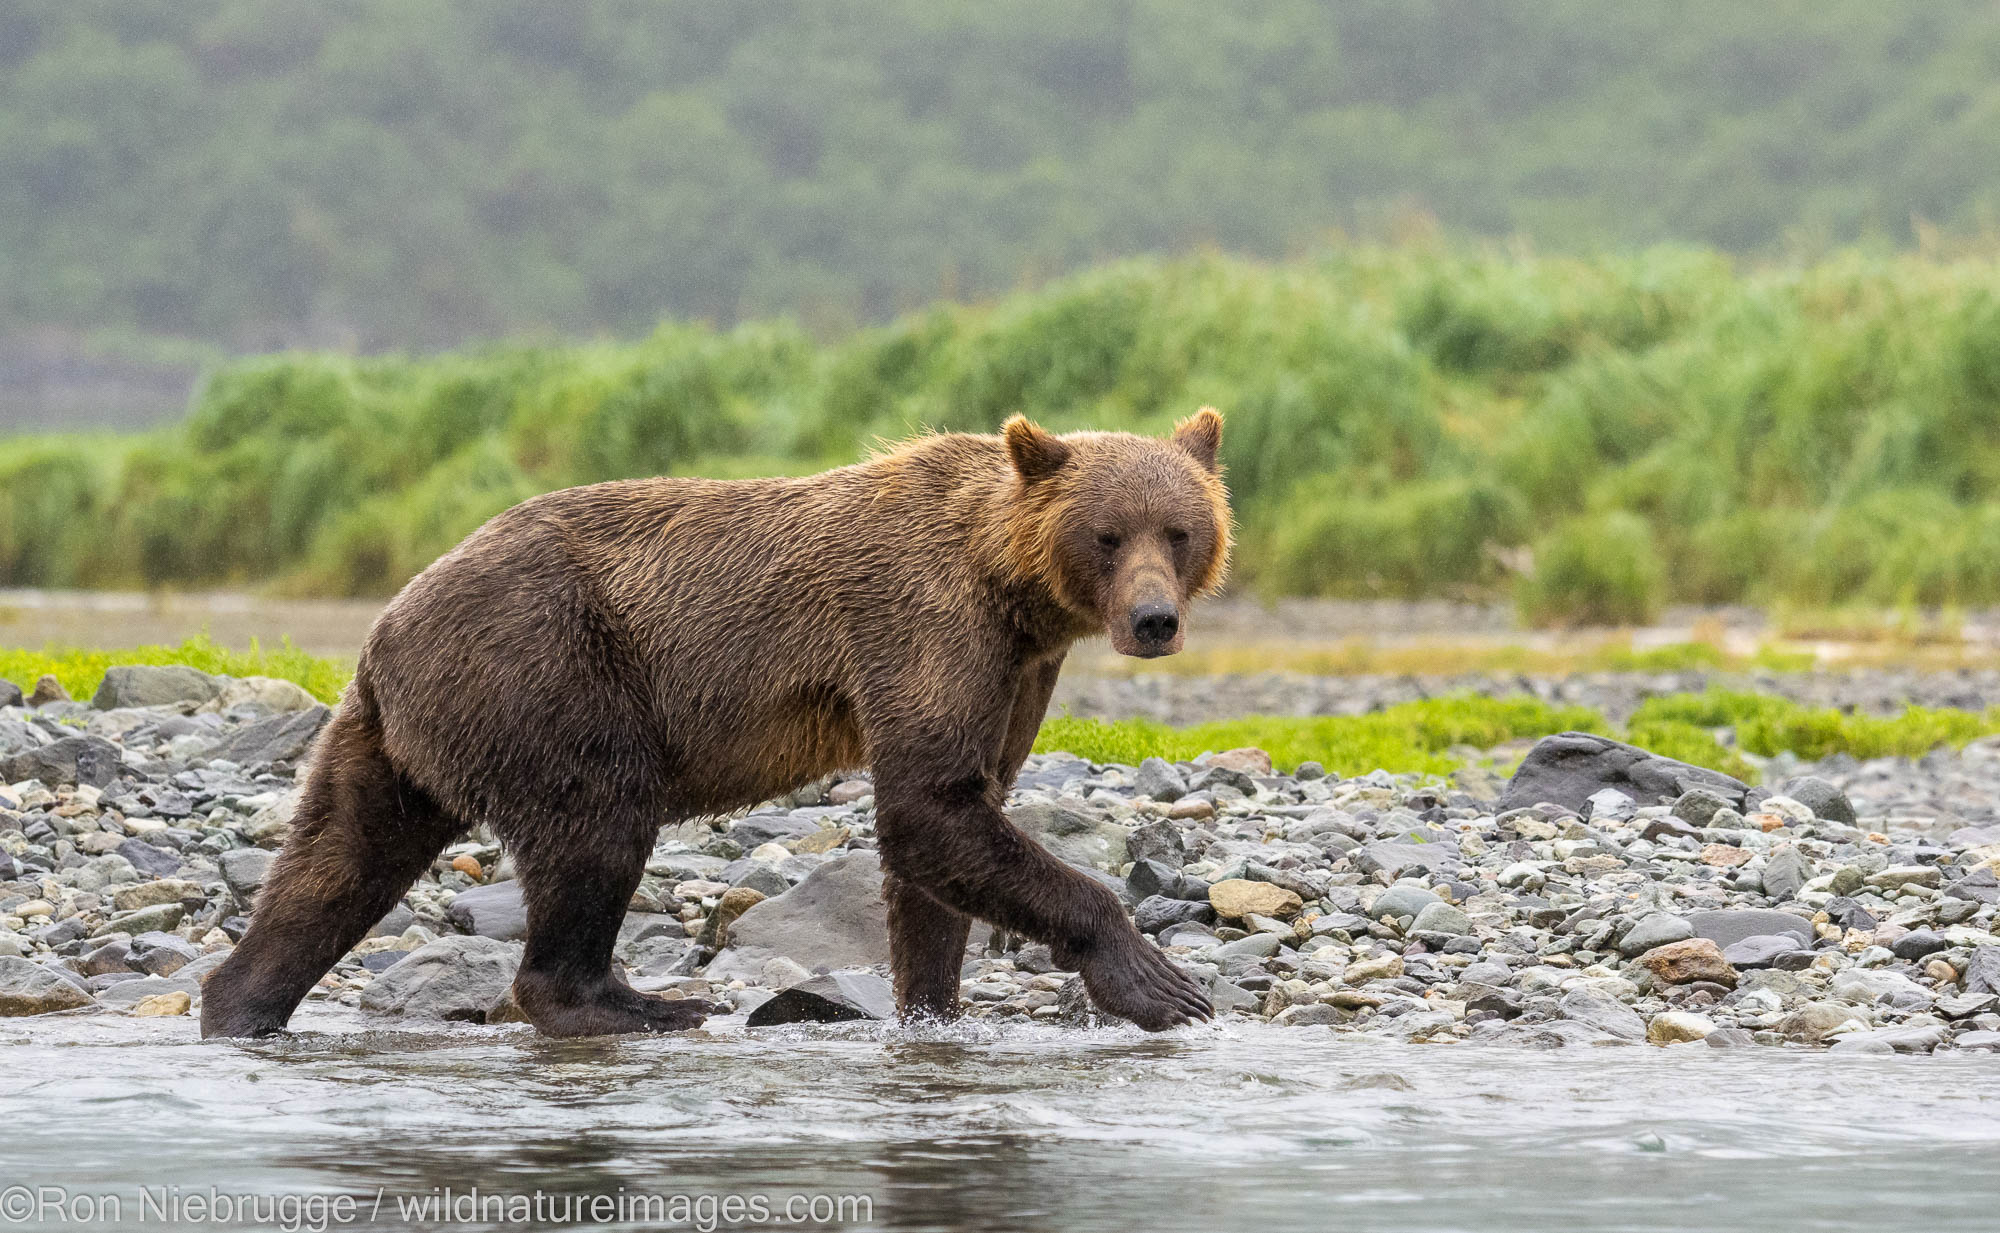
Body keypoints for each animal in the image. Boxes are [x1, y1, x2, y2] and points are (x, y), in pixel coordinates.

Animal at [207, 410, 1232, 1032]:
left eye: (1179, 530)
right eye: (1107, 533)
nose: (1153, 619)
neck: (1011, 585)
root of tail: (385, 623)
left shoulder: (1018, 670)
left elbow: (950, 828)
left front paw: (934, 1005)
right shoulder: (922, 622)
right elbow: (928, 805)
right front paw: (1162, 984)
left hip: (398, 732)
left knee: (338, 856)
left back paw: (241, 999)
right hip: (549, 670)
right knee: (598, 823)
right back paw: (632, 1001)